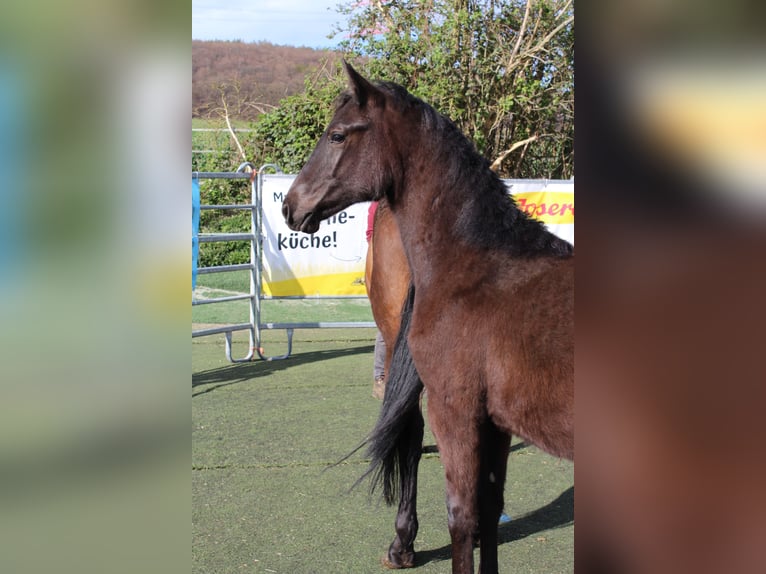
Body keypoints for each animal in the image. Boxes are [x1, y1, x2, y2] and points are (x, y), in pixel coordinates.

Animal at [283, 61, 574, 574]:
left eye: (337, 135)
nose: (289, 206)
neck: (478, 268)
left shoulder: (453, 409)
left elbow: (461, 516)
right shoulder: (495, 422)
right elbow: (490, 508)